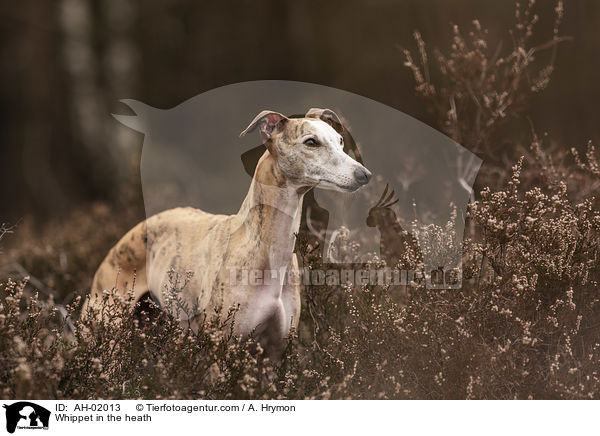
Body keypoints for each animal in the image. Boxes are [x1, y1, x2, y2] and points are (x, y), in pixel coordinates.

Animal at [85, 108, 370, 358]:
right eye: (311, 142)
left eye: (340, 141)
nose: (364, 174)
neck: (265, 247)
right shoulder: (221, 346)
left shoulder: (275, 353)